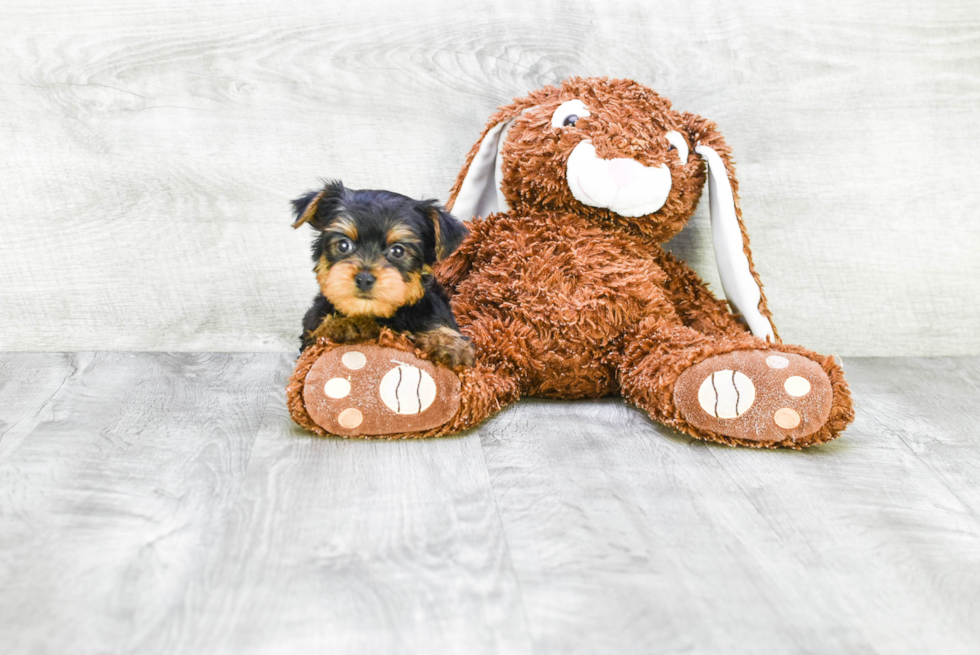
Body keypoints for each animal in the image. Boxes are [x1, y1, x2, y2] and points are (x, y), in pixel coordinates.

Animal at [290, 181, 474, 368]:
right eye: (343, 245)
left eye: (398, 251)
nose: (364, 279)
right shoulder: (312, 328)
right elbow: (321, 329)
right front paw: (344, 324)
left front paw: (448, 342)